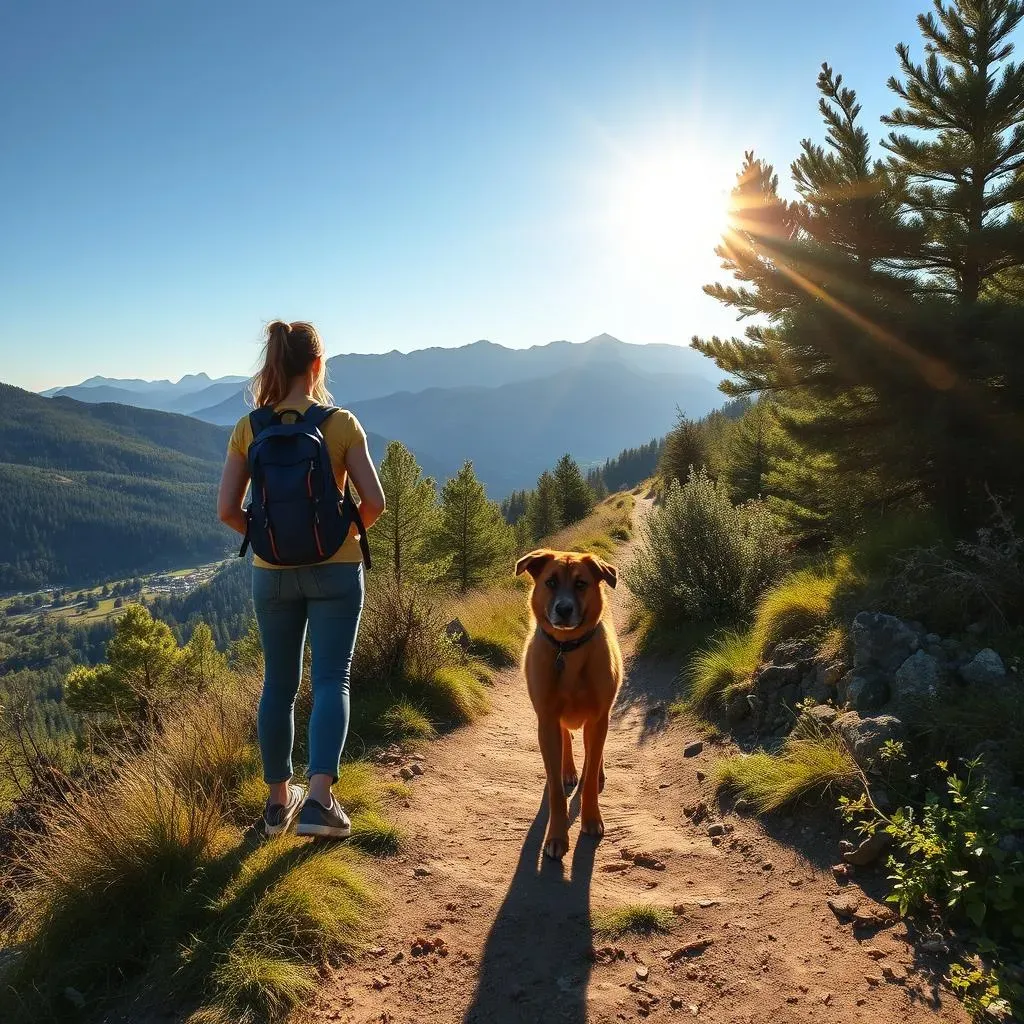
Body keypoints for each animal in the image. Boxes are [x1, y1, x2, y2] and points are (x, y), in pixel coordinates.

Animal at [516, 548, 618, 860]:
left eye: (581, 583)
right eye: (550, 582)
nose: (564, 609)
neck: (567, 649)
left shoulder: (598, 718)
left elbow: (592, 766)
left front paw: (591, 817)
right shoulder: (547, 720)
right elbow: (556, 793)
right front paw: (557, 836)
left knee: (593, 752)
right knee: (565, 740)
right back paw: (568, 770)